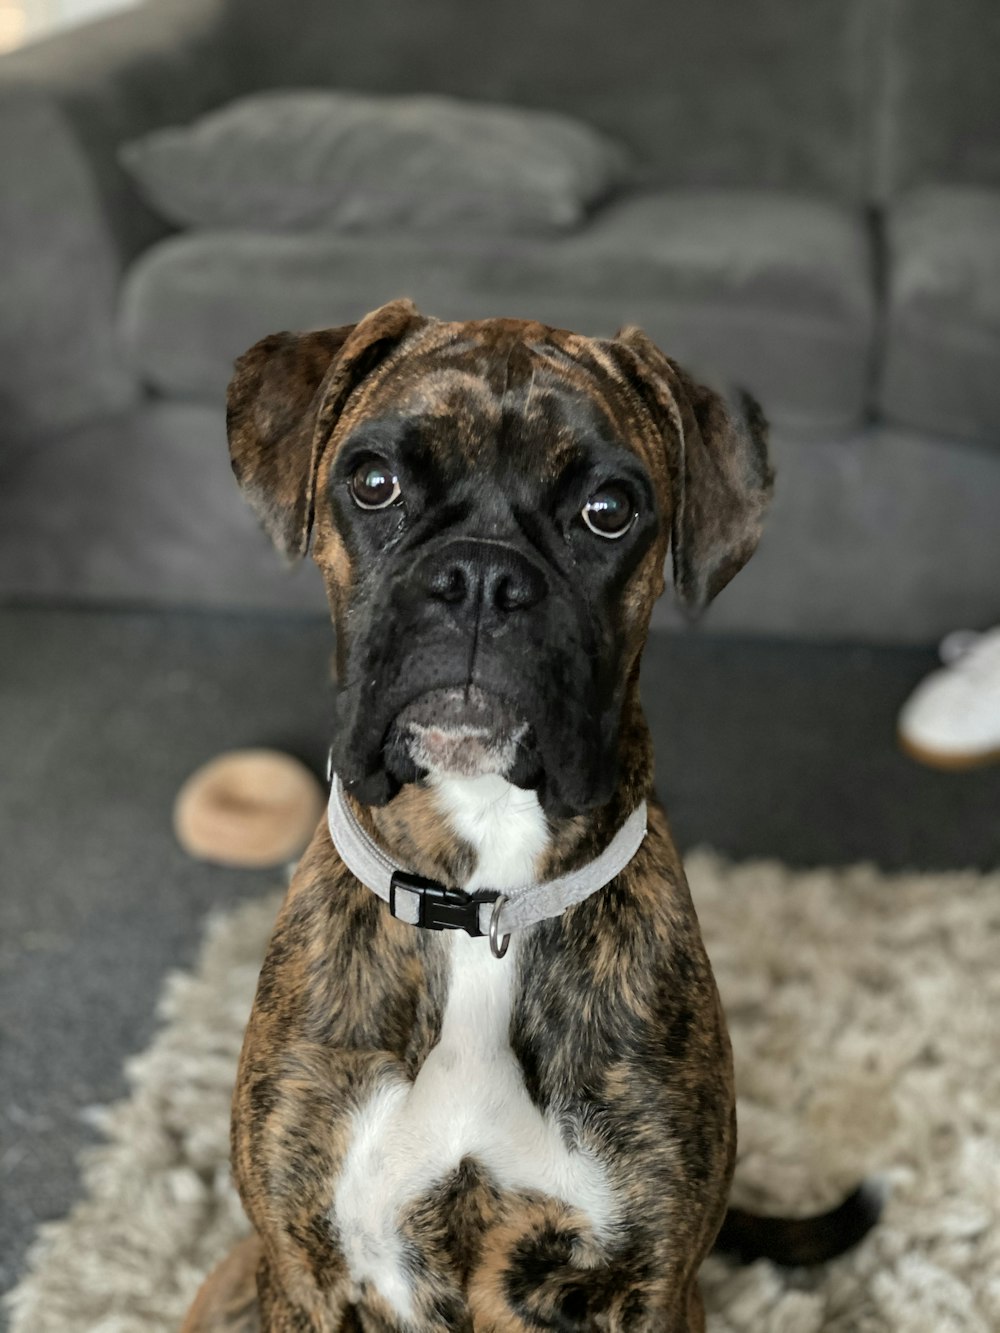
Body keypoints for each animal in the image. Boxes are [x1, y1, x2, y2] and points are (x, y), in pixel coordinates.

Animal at [184, 302, 880, 1333]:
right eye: (374, 482)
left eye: (609, 509)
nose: (481, 577)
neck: (481, 902)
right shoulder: (305, 1272)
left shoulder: (649, 1285)